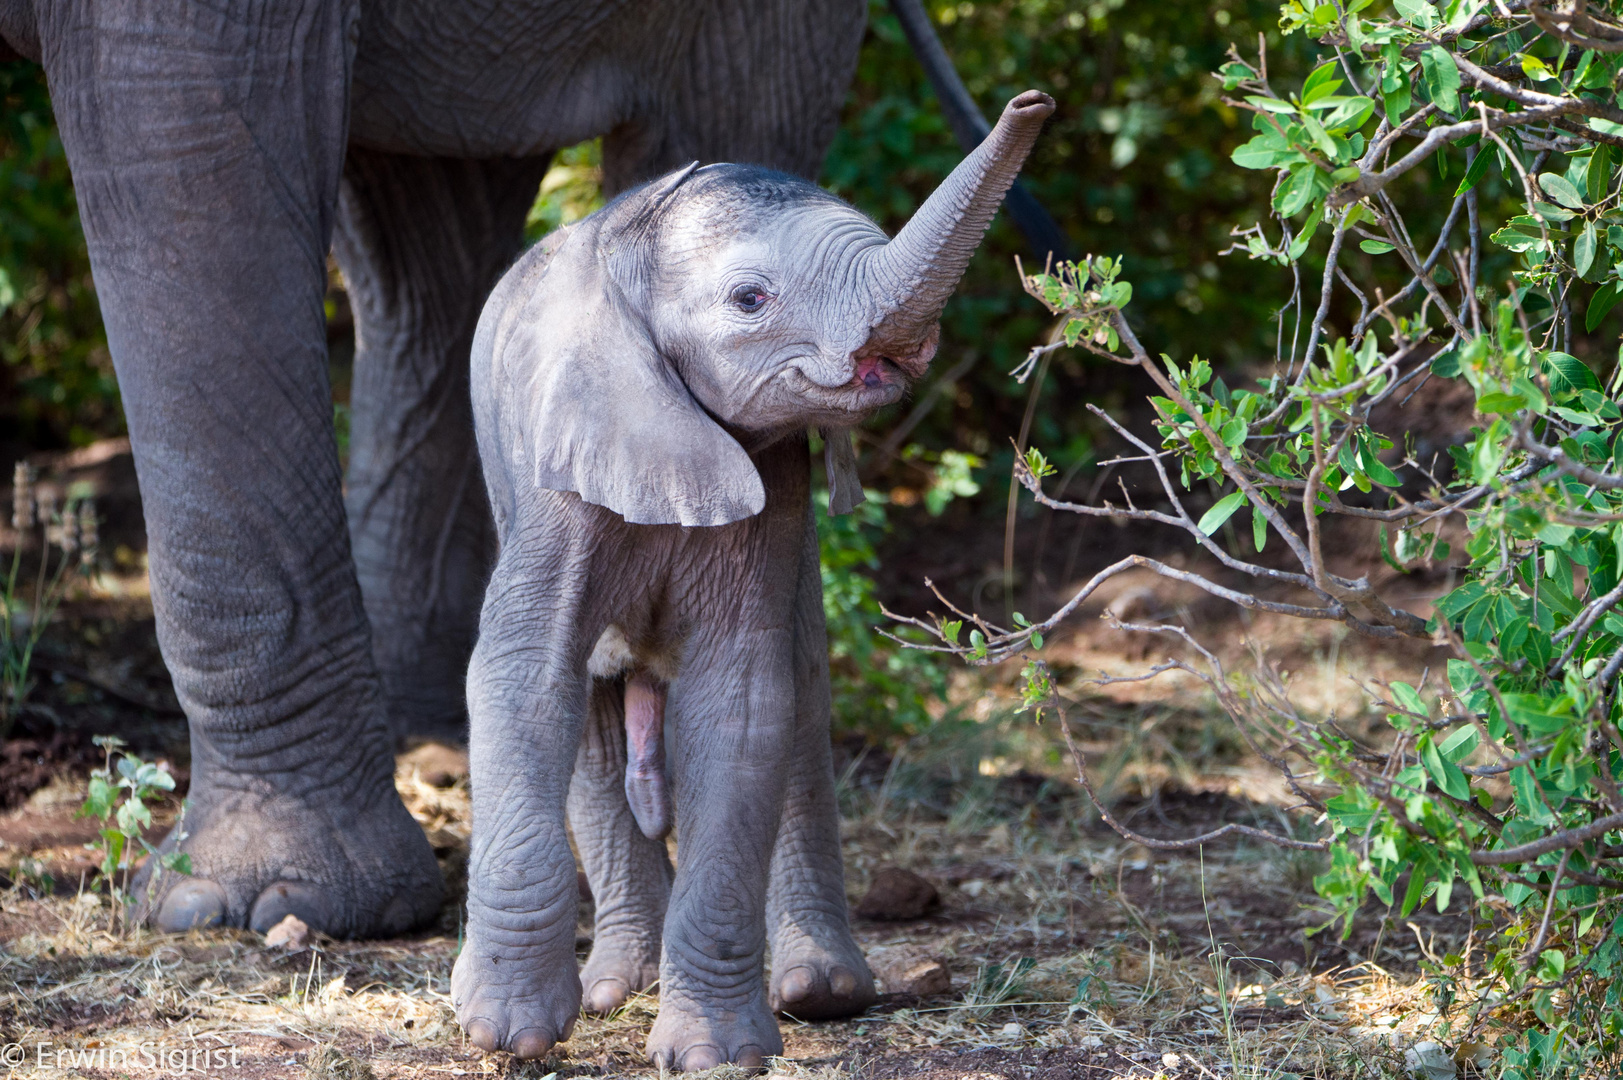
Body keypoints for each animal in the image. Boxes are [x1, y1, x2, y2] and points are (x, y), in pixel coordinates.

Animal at [454, 88, 1051, 1065]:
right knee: (592, 720)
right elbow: (523, 677)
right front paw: (505, 1034)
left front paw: (715, 1056)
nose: (1031, 102)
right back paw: (619, 987)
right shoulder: (557, 469)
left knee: (800, 702)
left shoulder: (776, 495)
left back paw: (819, 993)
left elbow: (740, 703)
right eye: (748, 299)